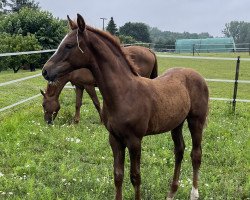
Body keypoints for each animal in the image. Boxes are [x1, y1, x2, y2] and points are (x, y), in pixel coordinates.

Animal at [42, 13, 209, 199]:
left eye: (69, 45)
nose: (45, 70)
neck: (124, 93)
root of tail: (197, 75)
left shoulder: (134, 140)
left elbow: (135, 177)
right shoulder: (115, 139)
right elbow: (118, 175)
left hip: (196, 121)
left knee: (196, 154)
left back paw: (194, 193)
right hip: (177, 123)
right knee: (179, 151)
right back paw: (171, 193)